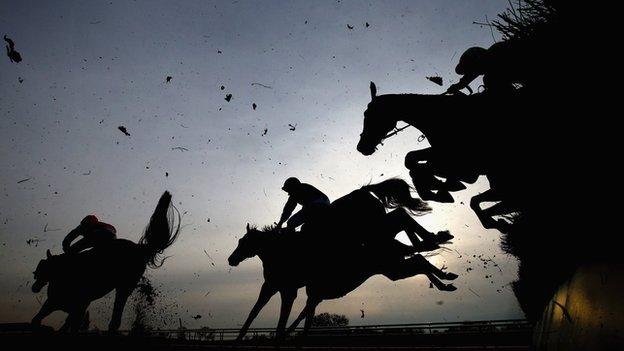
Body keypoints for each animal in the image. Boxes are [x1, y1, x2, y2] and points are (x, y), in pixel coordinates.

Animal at [31, 192, 179, 332]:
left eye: (42, 269)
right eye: (36, 271)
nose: (34, 287)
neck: (61, 272)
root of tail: (140, 248)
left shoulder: (79, 306)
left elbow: (69, 326)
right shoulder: (54, 304)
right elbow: (39, 320)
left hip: (124, 287)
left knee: (116, 319)